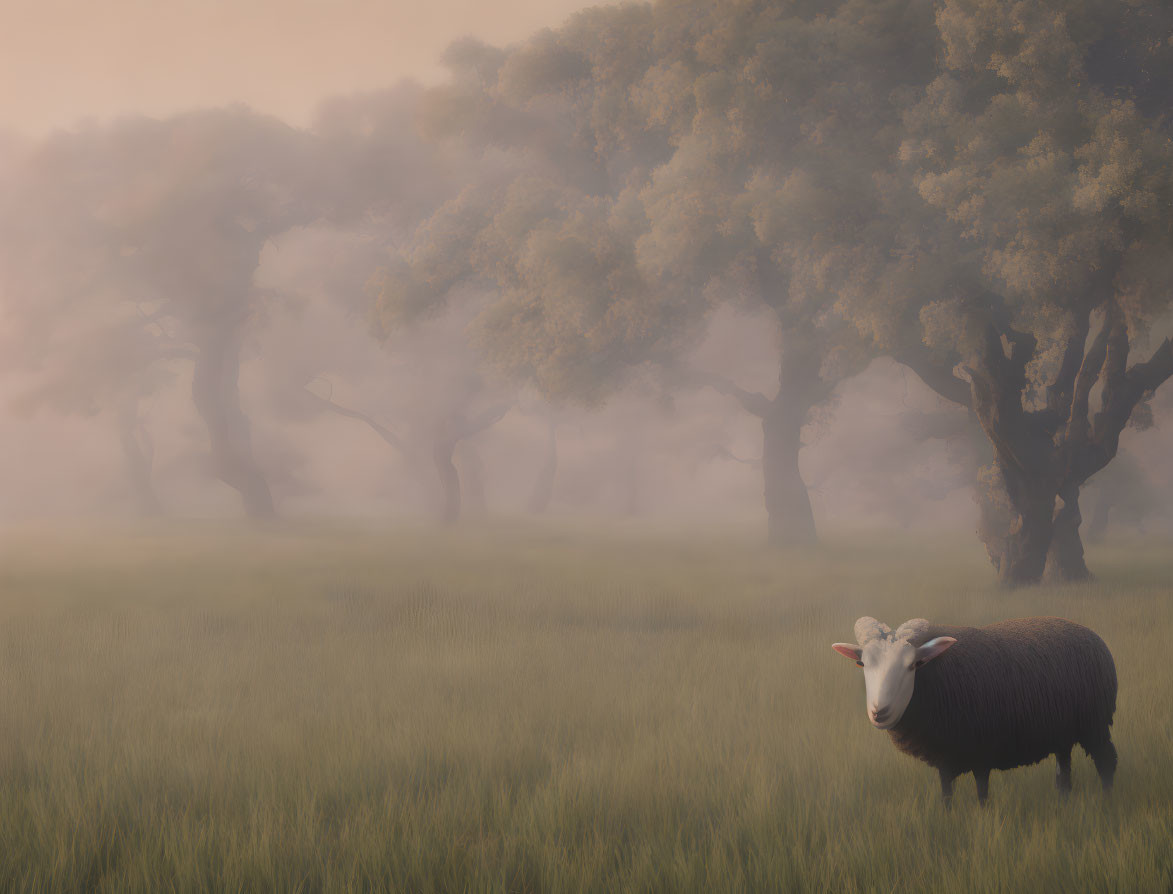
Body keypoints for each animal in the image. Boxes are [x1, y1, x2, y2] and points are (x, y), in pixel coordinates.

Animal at [830, 614, 1112, 802]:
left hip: (1096, 724)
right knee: (1063, 772)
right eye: (862, 664)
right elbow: (947, 797)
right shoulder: (944, 760)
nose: (880, 712)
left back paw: (1107, 802)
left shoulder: (982, 754)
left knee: (1107, 763)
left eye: (914, 665)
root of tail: (1092, 635)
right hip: (1063, 734)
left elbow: (982, 797)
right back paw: (1064, 800)